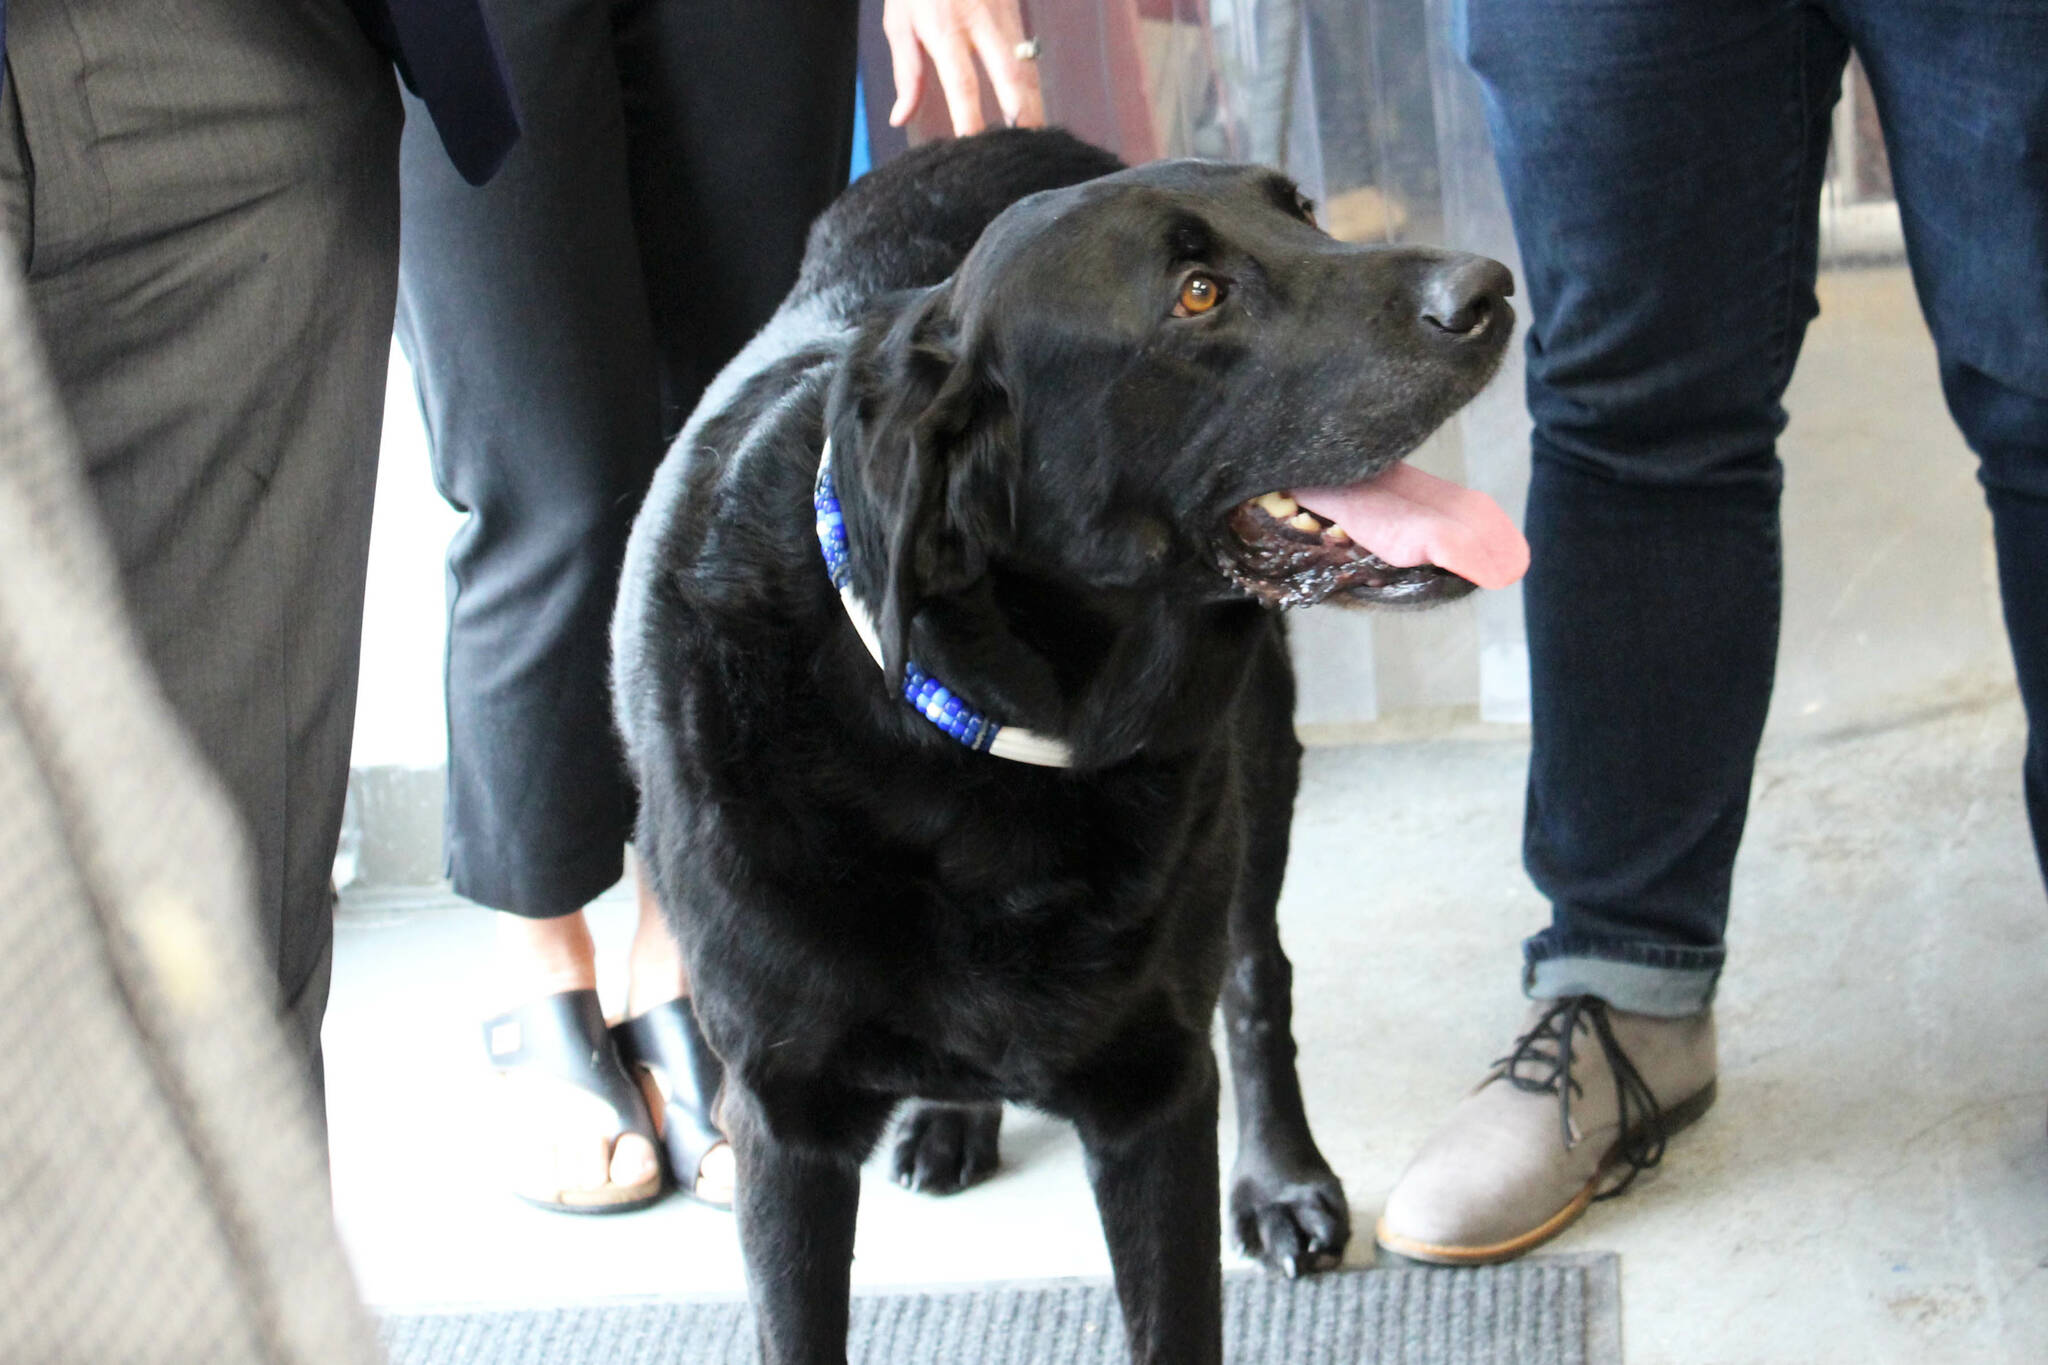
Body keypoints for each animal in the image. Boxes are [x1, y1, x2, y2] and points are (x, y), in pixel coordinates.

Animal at [606, 130, 1523, 1365]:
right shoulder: (780, 1120)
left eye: (1303, 214)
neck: (969, 749)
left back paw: (1280, 1178)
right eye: (1197, 294)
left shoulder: (1153, 1095)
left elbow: (1173, 1310)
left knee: (1254, 976)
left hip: (1254, 776)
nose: (1491, 289)